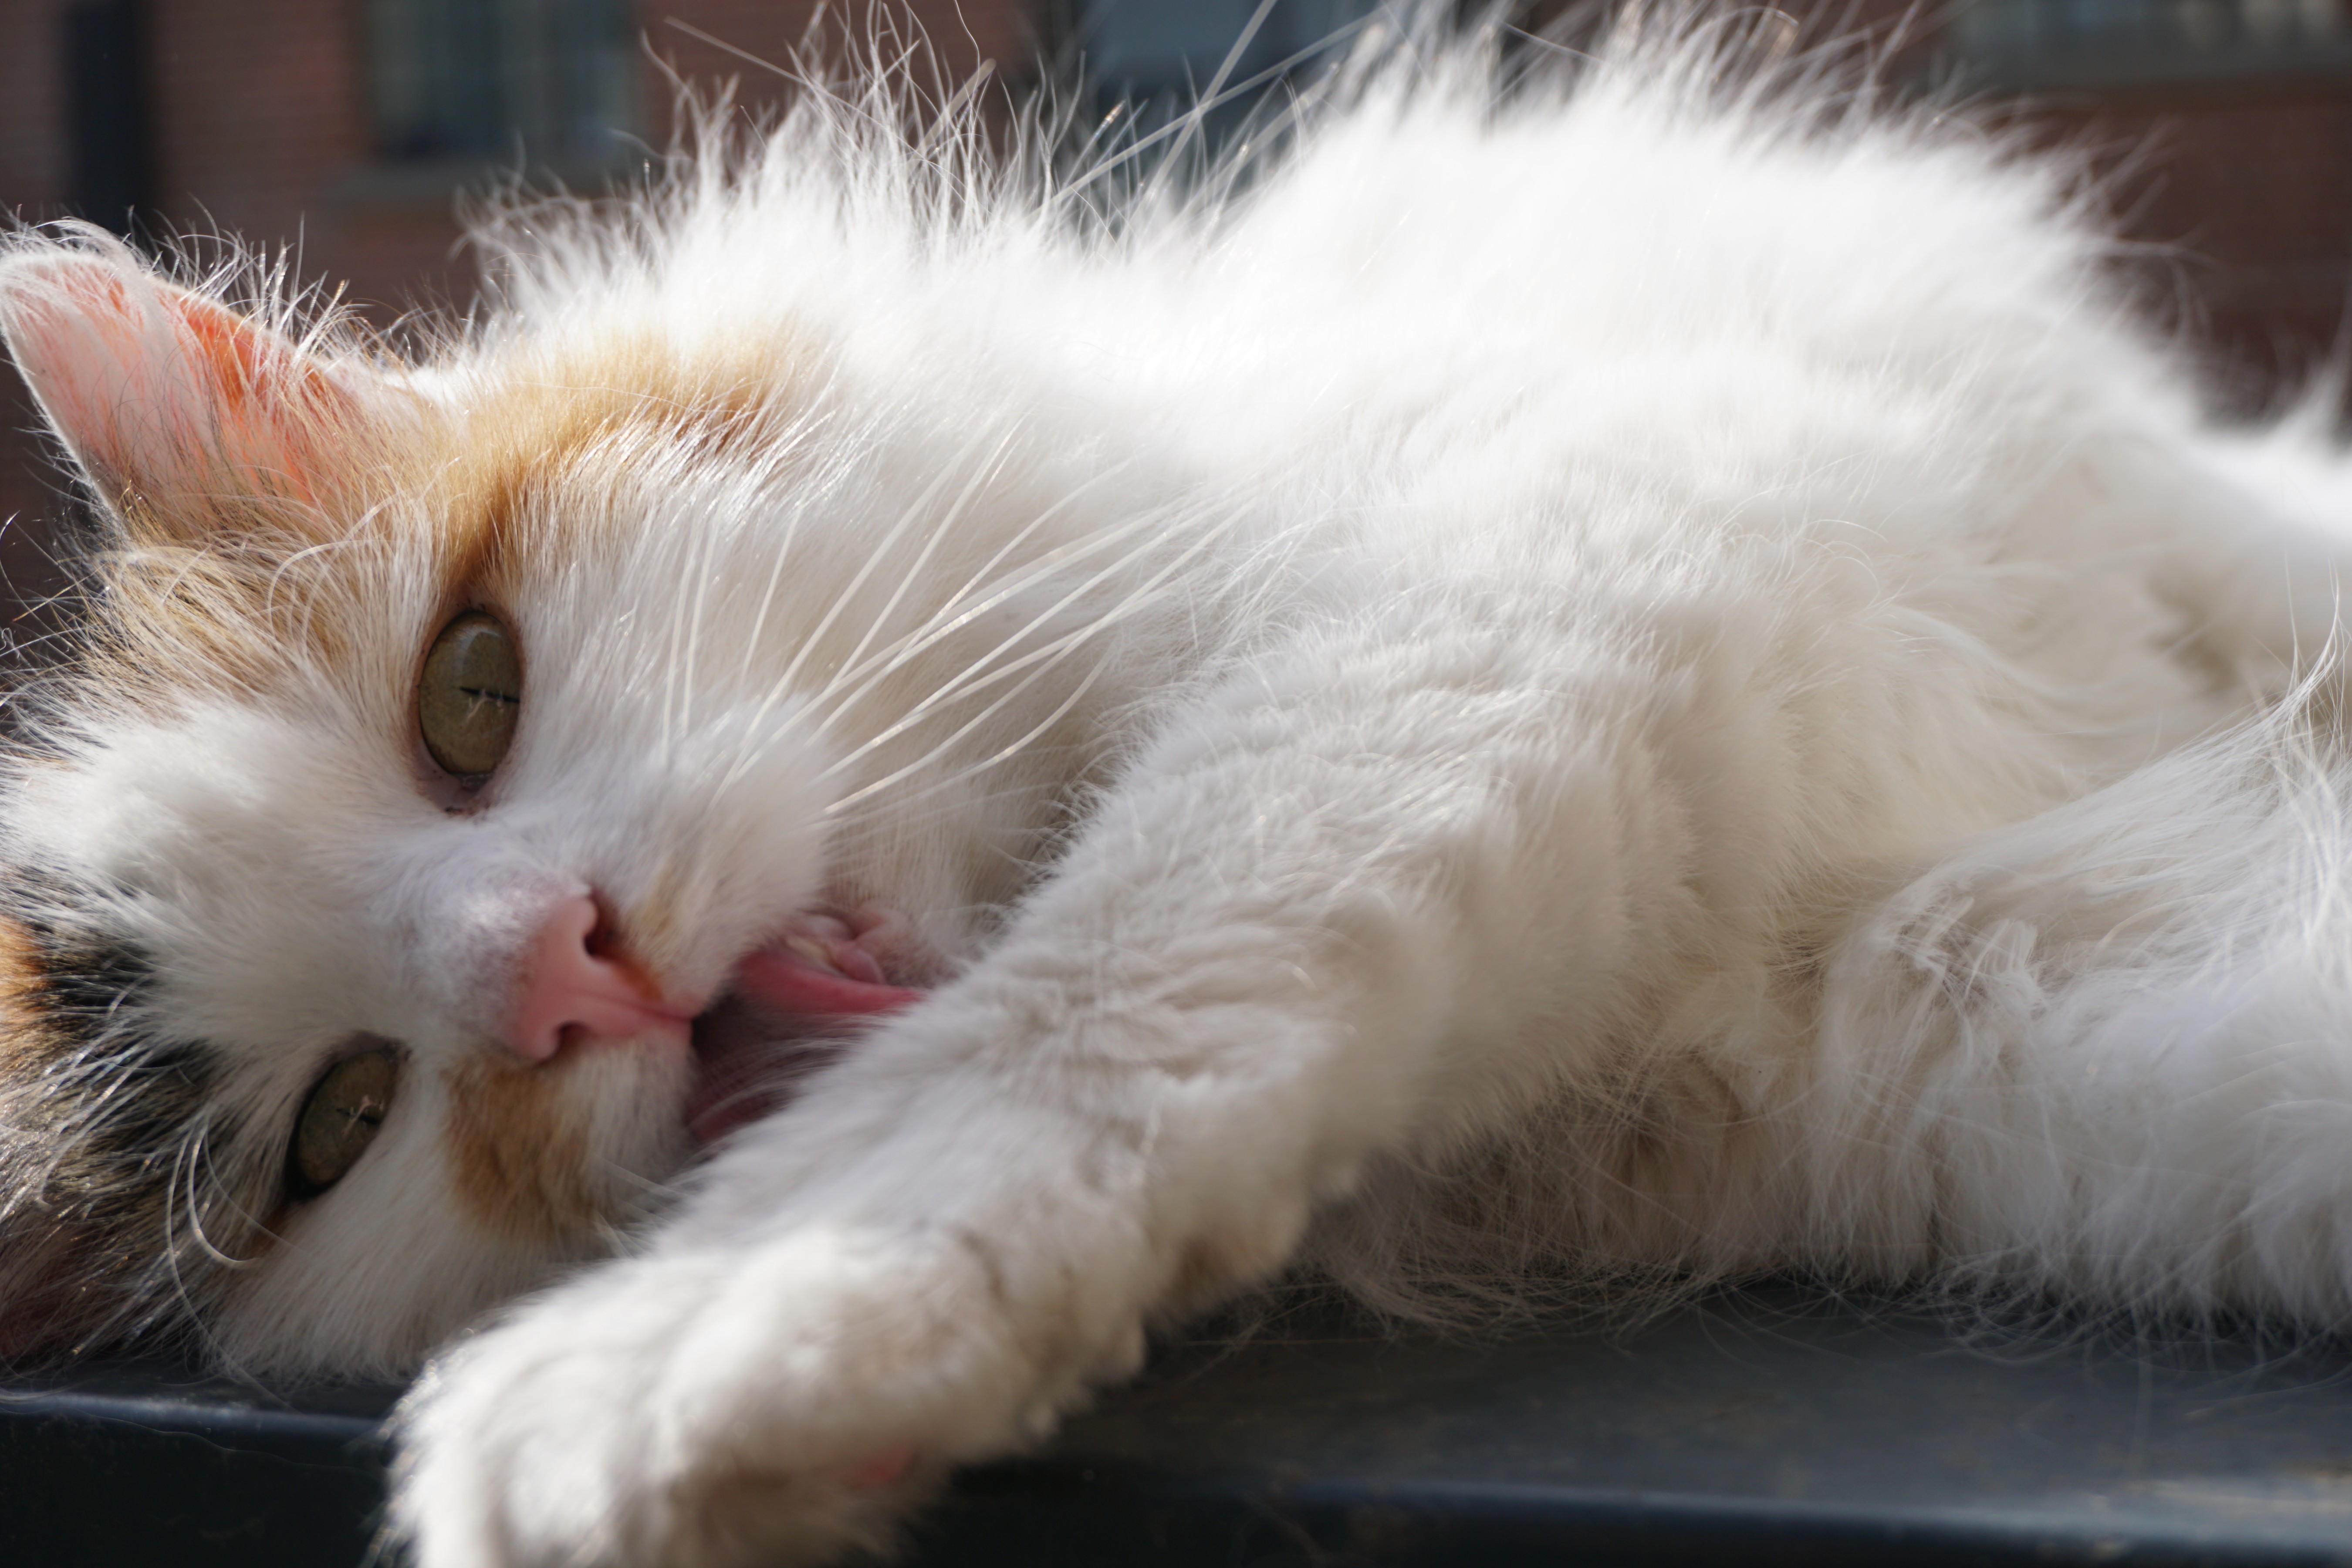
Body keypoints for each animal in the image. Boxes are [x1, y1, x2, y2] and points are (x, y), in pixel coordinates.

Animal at [4, 12, 2352, 1568]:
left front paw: (682, 1346)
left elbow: (1077, 1013)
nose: (563, 971)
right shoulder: (1967, 1019)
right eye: (337, 1130)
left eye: (469, 696)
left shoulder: (1528, 574)